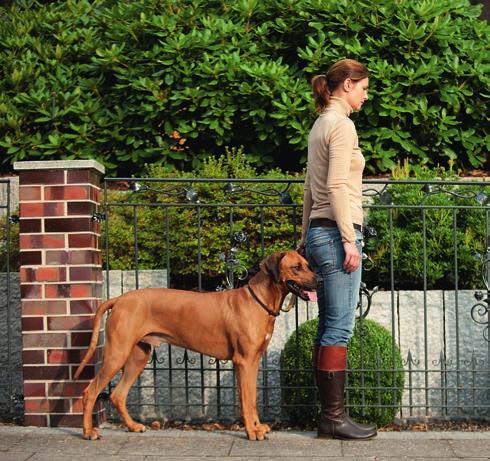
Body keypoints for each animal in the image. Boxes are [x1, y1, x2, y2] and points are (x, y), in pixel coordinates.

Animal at [74, 250, 316, 440]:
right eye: (296, 267)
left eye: (308, 265)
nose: (320, 280)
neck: (259, 300)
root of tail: (120, 299)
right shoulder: (244, 361)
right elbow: (246, 400)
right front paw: (251, 431)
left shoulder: (254, 361)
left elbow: (253, 398)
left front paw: (257, 427)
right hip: (118, 353)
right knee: (90, 391)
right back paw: (88, 432)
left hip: (138, 356)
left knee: (117, 395)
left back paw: (133, 426)